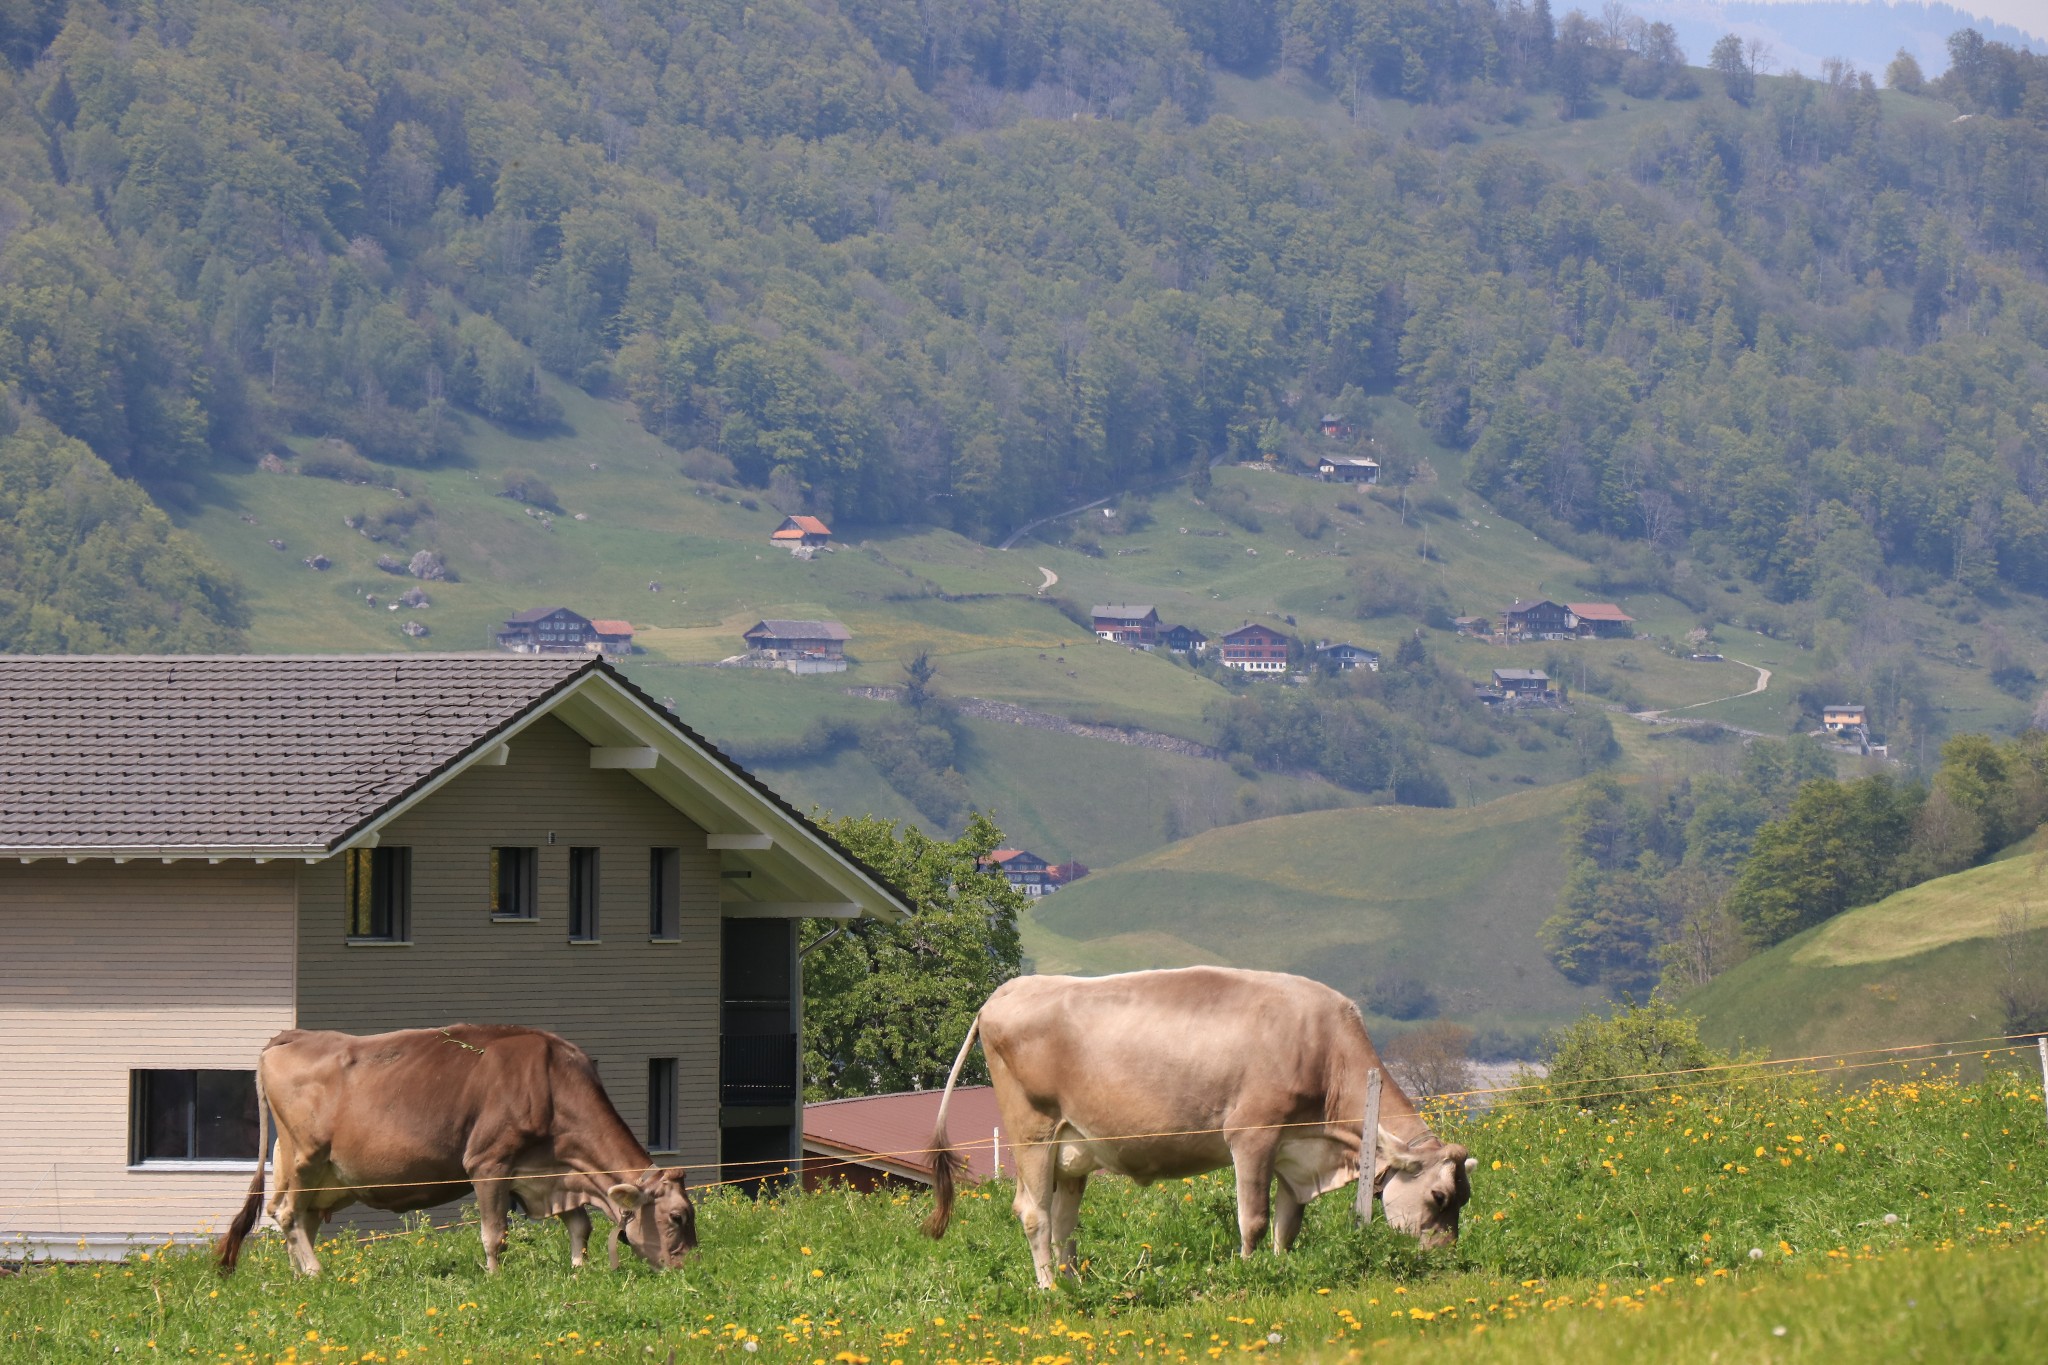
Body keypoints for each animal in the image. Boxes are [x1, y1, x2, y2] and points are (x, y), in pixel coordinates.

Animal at [214, 1023, 696, 1285]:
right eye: (676, 1217)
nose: (688, 1266)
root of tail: (291, 1036)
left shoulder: (551, 1175)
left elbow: (580, 1226)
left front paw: (579, 1271)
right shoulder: (488, 1163)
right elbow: (494, 1234)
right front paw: (495, 1279)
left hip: (321, 1174)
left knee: (301, 1217)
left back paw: (299, 1276)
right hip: (306, 1157)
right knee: (287, 1214)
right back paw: (315, 1273)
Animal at [925, 965, 1474, 1285]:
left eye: (1463, 1201)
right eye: (1439, 1197)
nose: (1444, 1257)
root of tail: (1003, 994)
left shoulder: (1295, 1149)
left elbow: (1289, 1221)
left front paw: (1282, 1266)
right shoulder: (1253, 1134)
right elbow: (1254, 1219)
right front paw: (1250, 1273)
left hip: (1071, 1149)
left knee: (1063, 1221)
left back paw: (1074, 1285)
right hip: (1031, 1133)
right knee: (1034, 1213)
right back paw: (1049, 1291)